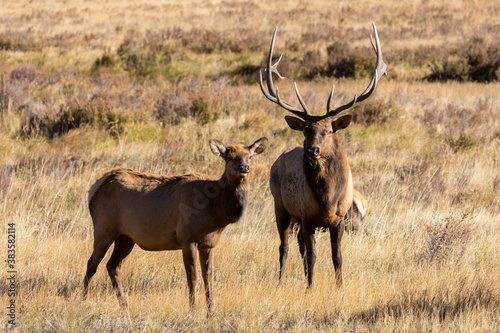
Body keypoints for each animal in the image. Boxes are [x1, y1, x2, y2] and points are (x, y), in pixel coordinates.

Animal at [83, 136, 270, 312]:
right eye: (229, 157)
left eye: (250, 156)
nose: (244, 168)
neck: (215, 213)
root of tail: (93, 188)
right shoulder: (187, 238)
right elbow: (192, 277)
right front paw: (193, 311)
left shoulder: (208, 244)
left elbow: (208, 277)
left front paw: (211, 312)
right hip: (104, 229)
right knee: (92, 263)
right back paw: (83, 301)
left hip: (126, 238)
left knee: (113, 266)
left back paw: (125, 307)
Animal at [262, 22, 386, 286]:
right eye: (306, 130)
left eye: (328, 130)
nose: (312, 150)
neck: (327, 199)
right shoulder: (307, 216)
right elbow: (312, 256)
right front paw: (310, 287)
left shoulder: (339, 219)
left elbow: (336, 256)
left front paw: (339, 286)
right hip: (281, 207)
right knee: (284, 246)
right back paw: (280, 280)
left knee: (297, 245)